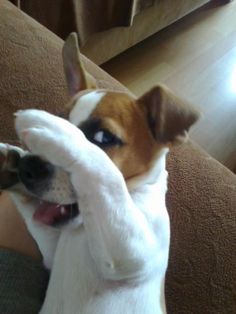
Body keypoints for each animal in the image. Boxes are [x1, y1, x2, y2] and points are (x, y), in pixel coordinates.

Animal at [0, 33, 199, 312]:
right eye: (62, 116)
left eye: (103, 138)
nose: (26, 169)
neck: (84, 228)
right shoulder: (50, 252)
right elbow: (34, 217)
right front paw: (9, 161)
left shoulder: (133, 253)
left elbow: (106, 175)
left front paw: (52, 129)